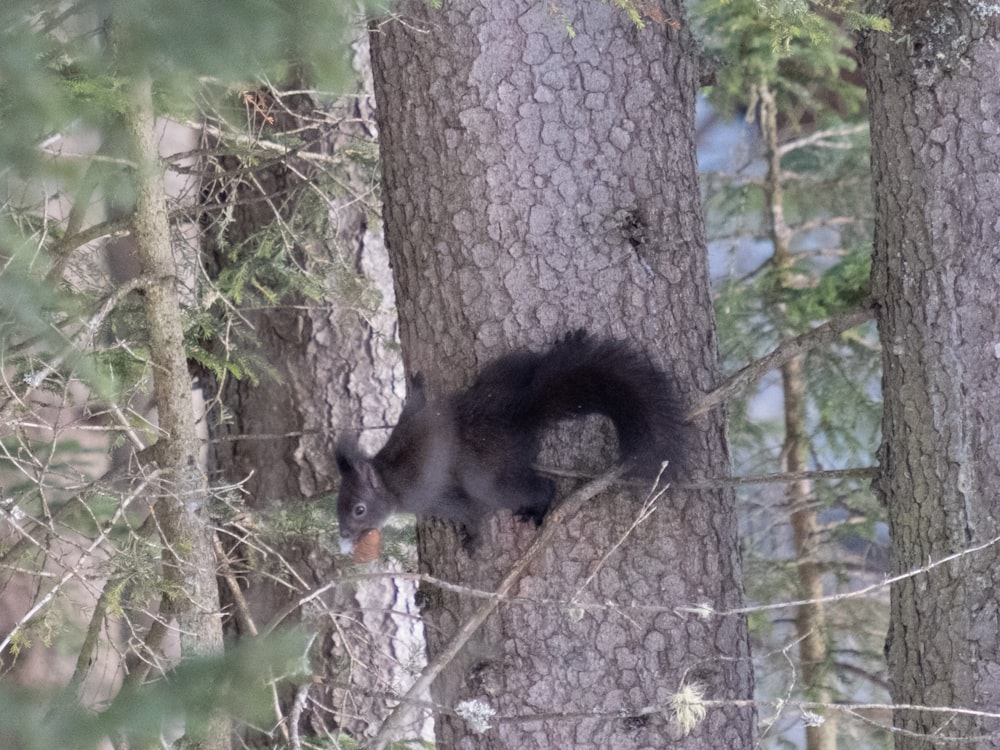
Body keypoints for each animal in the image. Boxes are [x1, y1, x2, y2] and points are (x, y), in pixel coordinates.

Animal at [336, 332, 688, 556]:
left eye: (359, 509)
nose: (342, 534)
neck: (388, 477)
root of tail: (518, 418)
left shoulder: (430, 497)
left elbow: (471, 513)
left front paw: (473, 543)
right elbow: (416, 405)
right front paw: (417, 382)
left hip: (486, 477)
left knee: (538, 486)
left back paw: (538, 508)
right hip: (502, 373)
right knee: (529, 366)